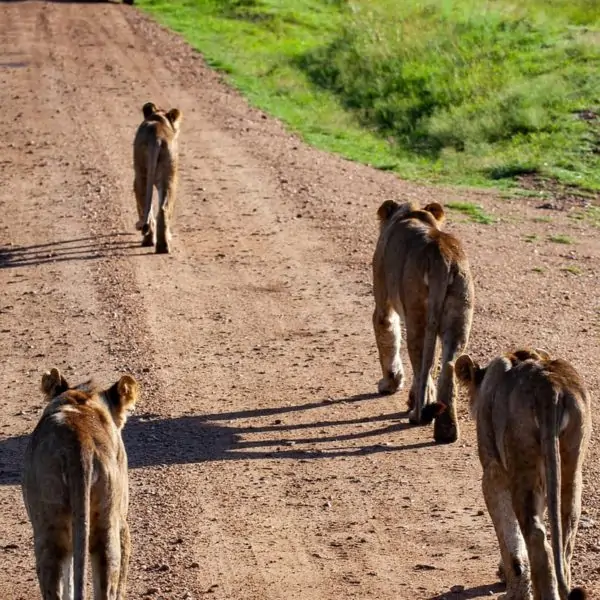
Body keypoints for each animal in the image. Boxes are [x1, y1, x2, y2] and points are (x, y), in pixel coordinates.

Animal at [134, 100, 183, 253]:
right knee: (163, 209)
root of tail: (157, 137)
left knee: (148, 207)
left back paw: (149, 240)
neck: (158, 119)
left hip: (142, 175)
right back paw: (162, 246)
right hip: (169, 177)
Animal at [370, 200, 474, 440]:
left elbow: (387, 334)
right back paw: (446, 431)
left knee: (421, 368)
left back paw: (417, 412)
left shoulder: (383, 300)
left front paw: (389, 384)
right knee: (447, 368)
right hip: (459, 313)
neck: (412, 213)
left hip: (417, 314)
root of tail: (442, 258)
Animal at [454, 346, 592, 600]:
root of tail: (550, 387)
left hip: (522, 462)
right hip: (571, 461)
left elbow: (506, 530)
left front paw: (512, 580)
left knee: (537, 536)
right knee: (566, 529)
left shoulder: (493, 471)